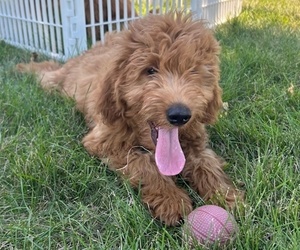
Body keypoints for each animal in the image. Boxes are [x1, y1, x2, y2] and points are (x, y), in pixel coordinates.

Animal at [17, 12, 244, 226]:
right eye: (150, 70)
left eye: (194, 71)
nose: (180, 114)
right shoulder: (105, 141)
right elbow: (144, 165)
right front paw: (171, 199)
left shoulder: (197, 143)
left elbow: (208, 165)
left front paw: (227, 197)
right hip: (58, 81)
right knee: (46, 71)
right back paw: (24, 67)